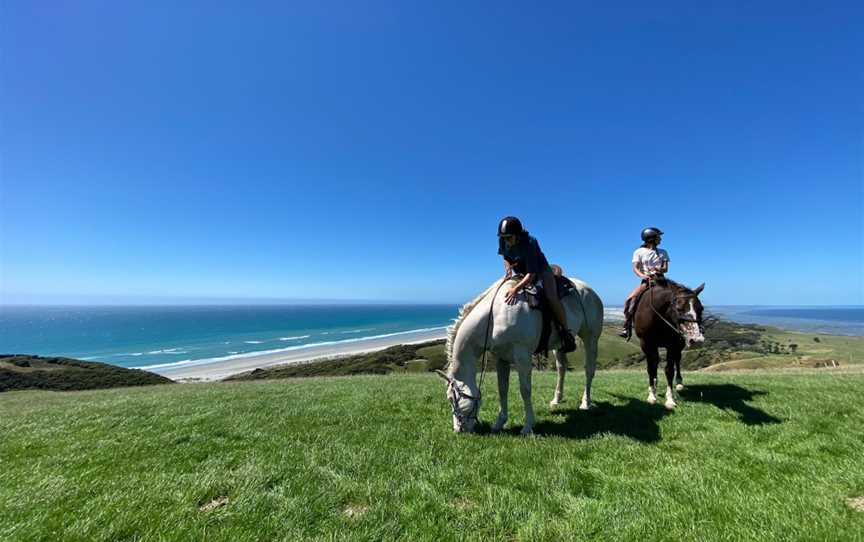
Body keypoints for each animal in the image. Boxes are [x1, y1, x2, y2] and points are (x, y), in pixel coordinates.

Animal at [436, 278, 604, 436]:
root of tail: (591, 291)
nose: (458, 430)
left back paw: (585, 402)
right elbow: (502, 389)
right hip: (559, 346)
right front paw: (499, 422)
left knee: (589, 370)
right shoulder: (501, 358)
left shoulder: (523, 357)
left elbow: (525, 390)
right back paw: (556, 400)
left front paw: (528, 426)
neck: (496, 316)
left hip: (591, 338)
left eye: (452, 399)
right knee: (561, 369)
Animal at [632, 278, 704, 410]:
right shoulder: (646, 344)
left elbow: (669, 370)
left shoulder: (673, 344)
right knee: (655, 363)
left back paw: (679, 383)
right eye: (679, 308)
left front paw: (670, 399)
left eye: (701, 308)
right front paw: (652, 395)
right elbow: (651, 368)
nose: (697, 341)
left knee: (677, 360)